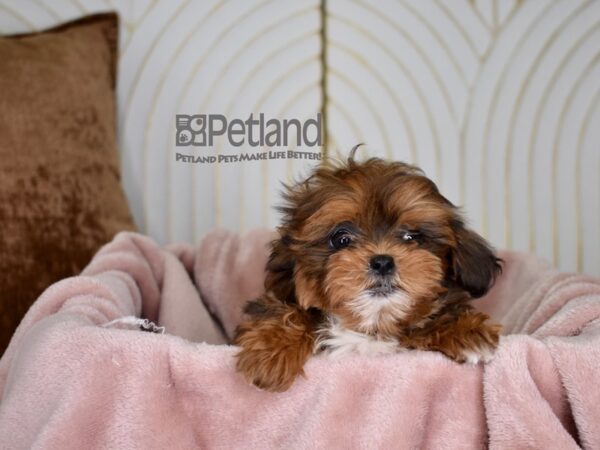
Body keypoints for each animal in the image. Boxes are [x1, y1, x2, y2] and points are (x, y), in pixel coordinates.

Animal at [234, 147, 502, 390]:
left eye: (411, 237)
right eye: (341, 239)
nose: (382, 262)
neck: (371, 326)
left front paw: (467, 331)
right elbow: (285, 310)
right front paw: (271, 353)